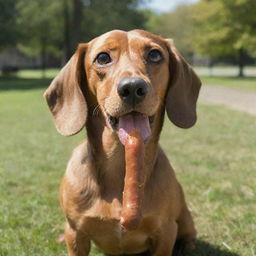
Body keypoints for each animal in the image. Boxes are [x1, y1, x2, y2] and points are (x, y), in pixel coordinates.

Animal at [44, 29, 201, 255]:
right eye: (102, 58)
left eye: (155, 54)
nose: (133, 87)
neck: (121, 164)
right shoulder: (75, 233)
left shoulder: (165, 232)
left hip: (185, 219)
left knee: (189, 234)